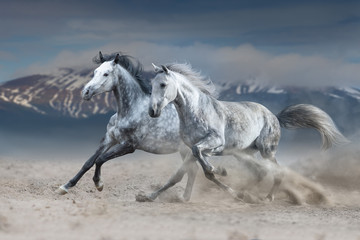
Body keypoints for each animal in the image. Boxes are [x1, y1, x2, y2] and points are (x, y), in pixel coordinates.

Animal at [148, 63, 346, 201]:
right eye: (151, 85)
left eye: (163, 84)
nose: (152, 111)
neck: (196, 110)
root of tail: (274, 116)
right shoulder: (191, 149)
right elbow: (181, 174)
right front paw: (150, 196)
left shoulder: (213, 142)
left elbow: (204, 163)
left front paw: (219, 170)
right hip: (244, 153)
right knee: (259, 173)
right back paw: (244, 194)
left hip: (267, 151)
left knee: (277, 171)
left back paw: (267, 197)